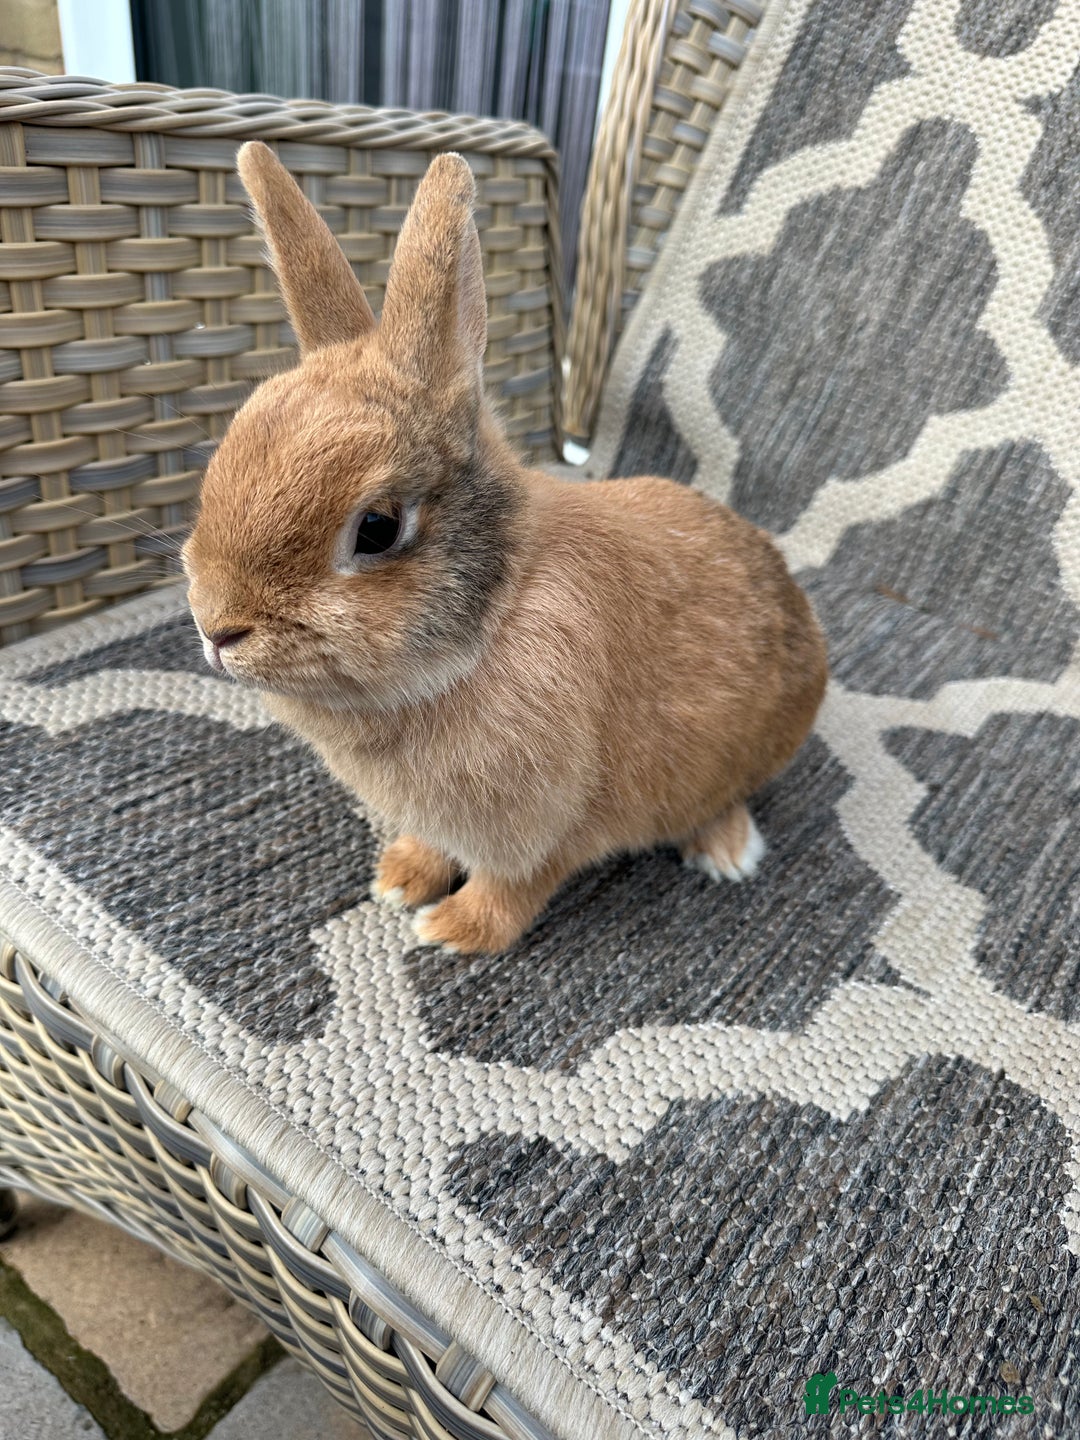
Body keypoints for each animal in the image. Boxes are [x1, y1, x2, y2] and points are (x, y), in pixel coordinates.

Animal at [182, 141, 829, 956]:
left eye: (377, 528)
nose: (217, 628)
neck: (494, 621)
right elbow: (435, 847)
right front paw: (401, 878)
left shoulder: (543, 827)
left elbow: (513, 888)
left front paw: (452, 931)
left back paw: (728, 852)